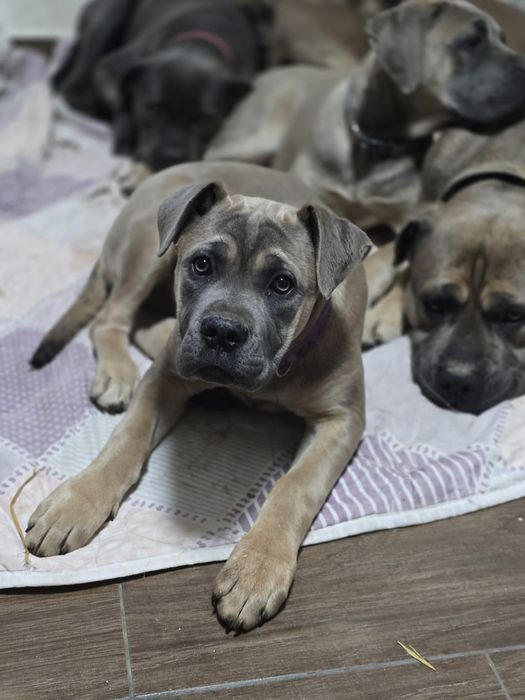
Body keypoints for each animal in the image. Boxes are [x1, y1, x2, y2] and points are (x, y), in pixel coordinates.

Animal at [26, 162, 371, 631]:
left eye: (283, 284)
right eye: (202, 264)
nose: (221, 332)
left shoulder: (341, 419)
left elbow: (294, 487)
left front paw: (257, 567)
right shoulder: (165, 379)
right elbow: (126, 438)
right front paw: (77, 501)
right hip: (146, 255)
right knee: (112, 319)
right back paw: (119, 373)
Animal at [53, 0, 269, 171]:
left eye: (204, 119)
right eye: (153, 109)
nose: (171, 157)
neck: (197, 43)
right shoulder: (114, 65)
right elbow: (122, 102)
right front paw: (125, 140)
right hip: (109, 18)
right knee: (74, 90)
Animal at [205, 0, 525, 231]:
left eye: (503, 39)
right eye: (472, 41)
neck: (375, 144)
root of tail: (271, 72)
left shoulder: (399, 220)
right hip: (246, 140)